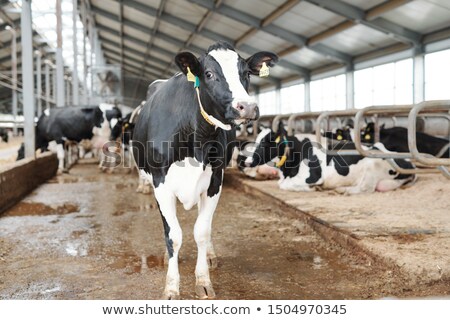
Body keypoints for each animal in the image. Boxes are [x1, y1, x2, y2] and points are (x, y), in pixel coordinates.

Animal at [131, 41, 278, 298]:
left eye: (246, 73)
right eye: (209, 74)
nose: (247, 107)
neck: (196, 137)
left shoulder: (214, 181)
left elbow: (201, 231)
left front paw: (203, 281)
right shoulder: (160, 183)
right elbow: (173, 235)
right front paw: (171, 287)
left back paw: (209, 255)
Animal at [244, 124, 416, 194]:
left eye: (266, 142)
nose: (246, 162)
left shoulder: (312, 177)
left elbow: (284, 185)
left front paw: (314, 188)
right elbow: (281, 184)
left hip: (372, 166)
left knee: (365, 188)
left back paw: (342, 190)